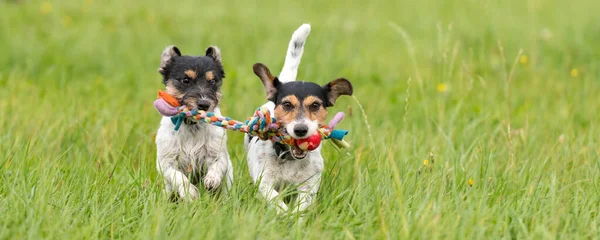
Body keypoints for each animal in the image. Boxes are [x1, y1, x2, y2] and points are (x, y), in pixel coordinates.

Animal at [155, 44, 234, 201]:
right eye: (185, 80)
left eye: (213, 81)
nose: (204, 104)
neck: (191, 125)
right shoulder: (166, 162)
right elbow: (178, 176)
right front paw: (190, 192)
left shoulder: (218, 154)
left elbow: (217, 166)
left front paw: (211, 180)